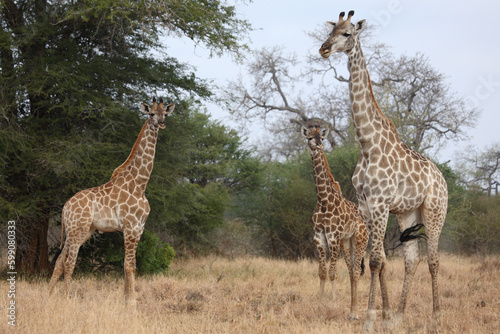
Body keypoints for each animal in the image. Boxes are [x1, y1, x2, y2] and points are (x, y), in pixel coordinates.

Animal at [48, 97, 174, 302]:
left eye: (165, 113)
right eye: (151, 113)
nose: (162, 123)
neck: (140, 184)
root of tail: (65, 207)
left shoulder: (139, 228)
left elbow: (128, 265)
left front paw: (126, 300)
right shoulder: (130, 227)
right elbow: (130, 265)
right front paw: (131, 302)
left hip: (79, 231)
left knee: (59, 261)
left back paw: (48, 295)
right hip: (77, 230)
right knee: (69, 262)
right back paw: (67, 298)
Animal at [300, 124, 368, 320]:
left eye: (321, 138)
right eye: (309, 138)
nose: (318, 145)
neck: (323, 200)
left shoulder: (333, 236)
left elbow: (332, 273)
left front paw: (333, 300)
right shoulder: (319, 237)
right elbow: (322, 272)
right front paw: (320, 301)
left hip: (360, 240)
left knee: (355, 272)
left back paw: (355, 313)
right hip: (347, 242)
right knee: (352, 271)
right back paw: (352, 311)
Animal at [320, 10, 450, 332]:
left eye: (347, 34)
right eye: (331, 31)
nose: (323, 49)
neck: (367, 144)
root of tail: (442, 178)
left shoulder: (380, 205)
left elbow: (376, 261)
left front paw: (370, 317)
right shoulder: (367, 206)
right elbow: (377, 260)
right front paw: (387, 316)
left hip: (434, 211)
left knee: (433, 260)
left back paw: (436, 317)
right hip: (408, 213)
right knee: (412, 260)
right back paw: (402, 316)